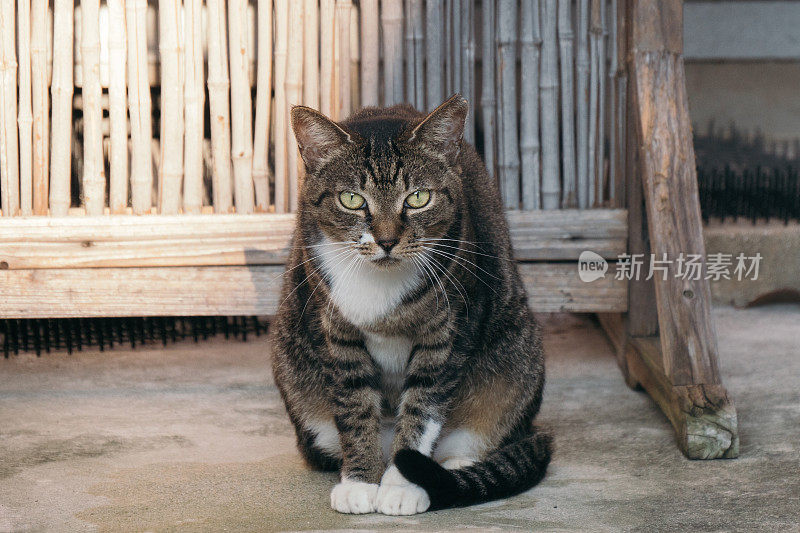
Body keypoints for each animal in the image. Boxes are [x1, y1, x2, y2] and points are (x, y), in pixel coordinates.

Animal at [274, 93, 552, 512]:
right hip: (292, 368)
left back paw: (453, 469)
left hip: (516, 357)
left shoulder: (449, 330)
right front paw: (359, 482)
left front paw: (402, 487)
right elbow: (355, 407)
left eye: (418, 198)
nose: (387, 240)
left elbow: (423, 406)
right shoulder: (334, 331)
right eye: (352, 199)